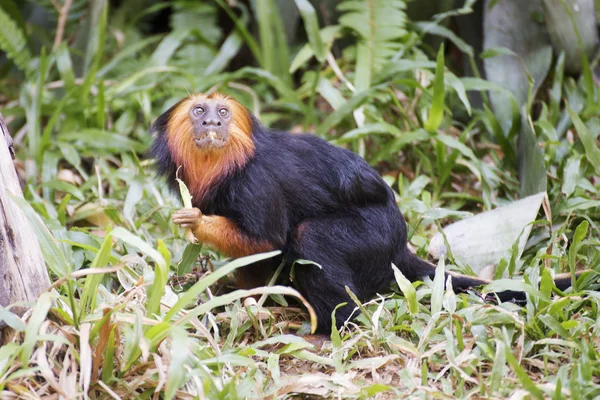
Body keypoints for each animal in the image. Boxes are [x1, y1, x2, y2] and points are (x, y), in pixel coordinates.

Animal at [152, 92, 592, 332]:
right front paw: (239, 297)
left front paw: (198, 224)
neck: (229, 164)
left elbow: (268, 240)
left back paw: (329, 329)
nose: (211, 121)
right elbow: (257, 259)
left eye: (223, 113)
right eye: (199, 111)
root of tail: (399, 245)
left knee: (311, 237)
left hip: (373, 234)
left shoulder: (255, 184)